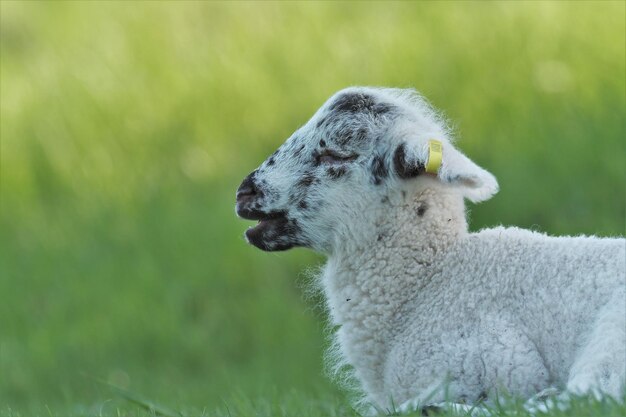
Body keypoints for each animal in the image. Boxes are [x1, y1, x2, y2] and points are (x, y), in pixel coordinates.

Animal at [234, 86, 624, 412]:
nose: (244, 193)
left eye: (336, 154)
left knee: (587, 399)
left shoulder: (500, 359)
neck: (428, 281)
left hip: (610, 338)